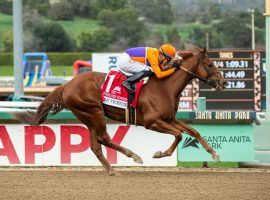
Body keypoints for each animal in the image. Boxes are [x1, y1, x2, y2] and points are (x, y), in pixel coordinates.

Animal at [14, 48, 226, 175]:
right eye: (209, 64)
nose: (223, 82)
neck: (165, 87)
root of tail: (67, 85)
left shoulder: (170, 118)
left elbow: (193, 131)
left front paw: (214, 153)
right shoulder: (152, 122)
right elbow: (178, 135)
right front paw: (160, 153)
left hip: (88, 116)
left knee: (96, 144)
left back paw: (111, 169)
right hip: (94, 112)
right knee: (104, 139)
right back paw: (134, 156)